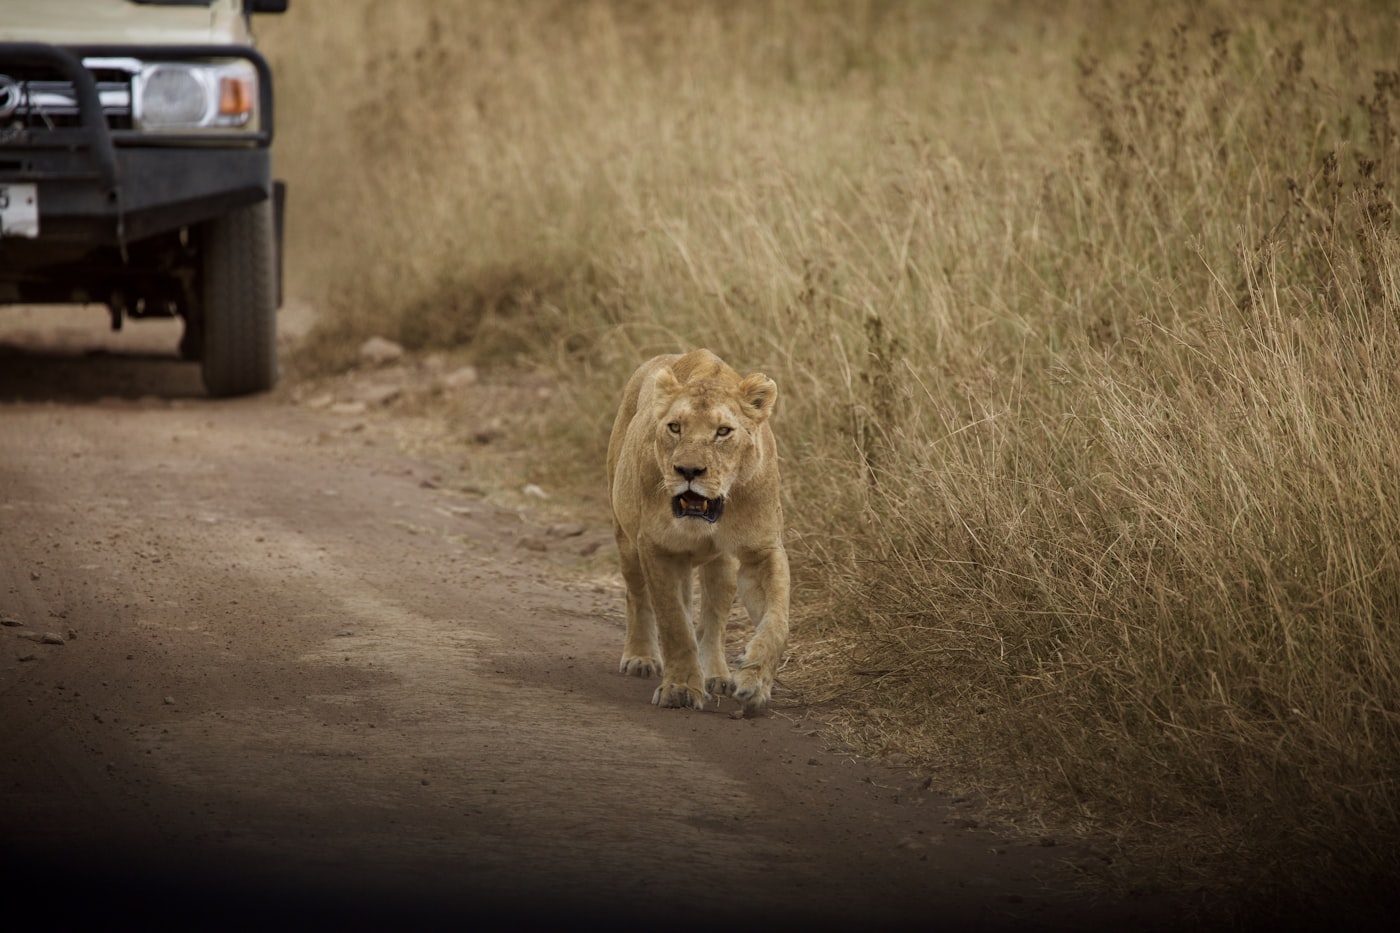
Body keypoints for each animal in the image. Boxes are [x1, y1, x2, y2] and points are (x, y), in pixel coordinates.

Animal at [606, 348, 790, 716]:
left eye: (723, 431)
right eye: (675, 427)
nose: (688, 471)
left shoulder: (762, 551)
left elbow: (778, 620)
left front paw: (754, 682)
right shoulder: (656, 547)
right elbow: (674, 623)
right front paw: (679, 688)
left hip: (723, 565)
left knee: (713, 620)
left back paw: (716, 675)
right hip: (627, 539)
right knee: (638, 597)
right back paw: (641, 657)